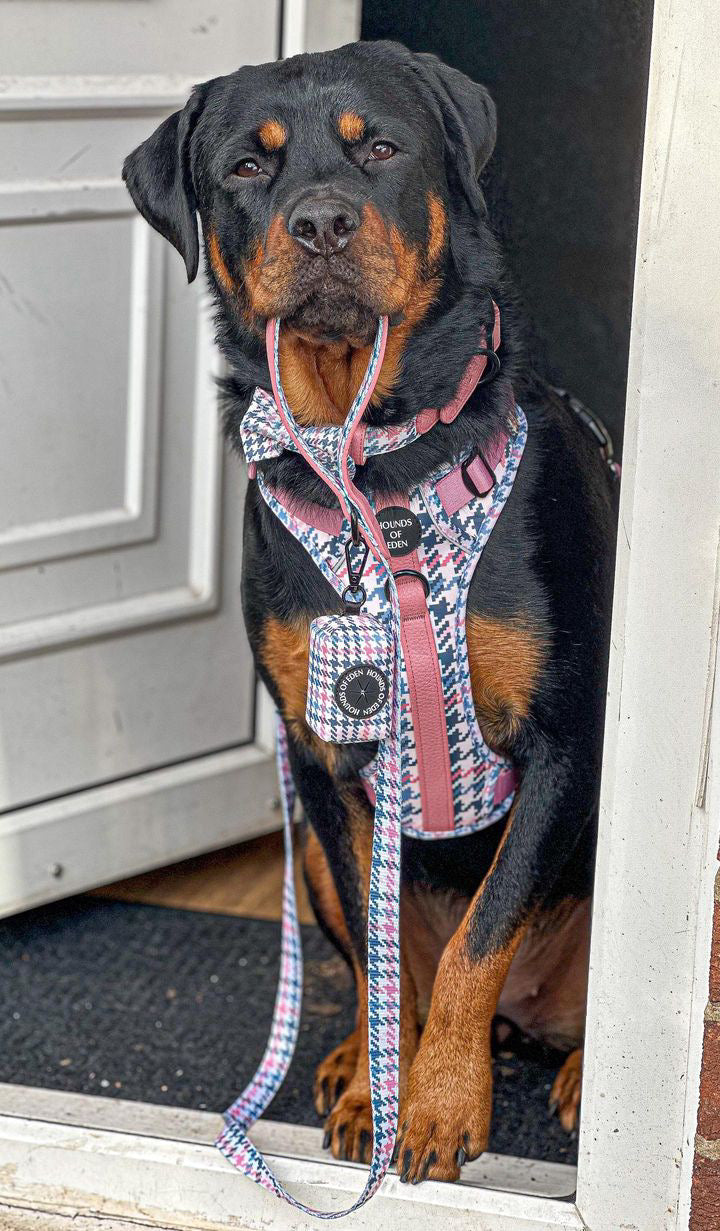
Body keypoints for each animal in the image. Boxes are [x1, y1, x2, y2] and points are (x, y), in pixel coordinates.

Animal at [124, 38, 617, 1181]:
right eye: (246, 168)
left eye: (381, 149)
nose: (320, 223)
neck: (377, 470)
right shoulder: (320, 756)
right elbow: (381, 938)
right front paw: (385, 1092)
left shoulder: (565, 741)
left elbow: (484, 931)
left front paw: (439, 1105)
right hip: (304, 837)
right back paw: (357, 1058)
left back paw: (579, 1073)